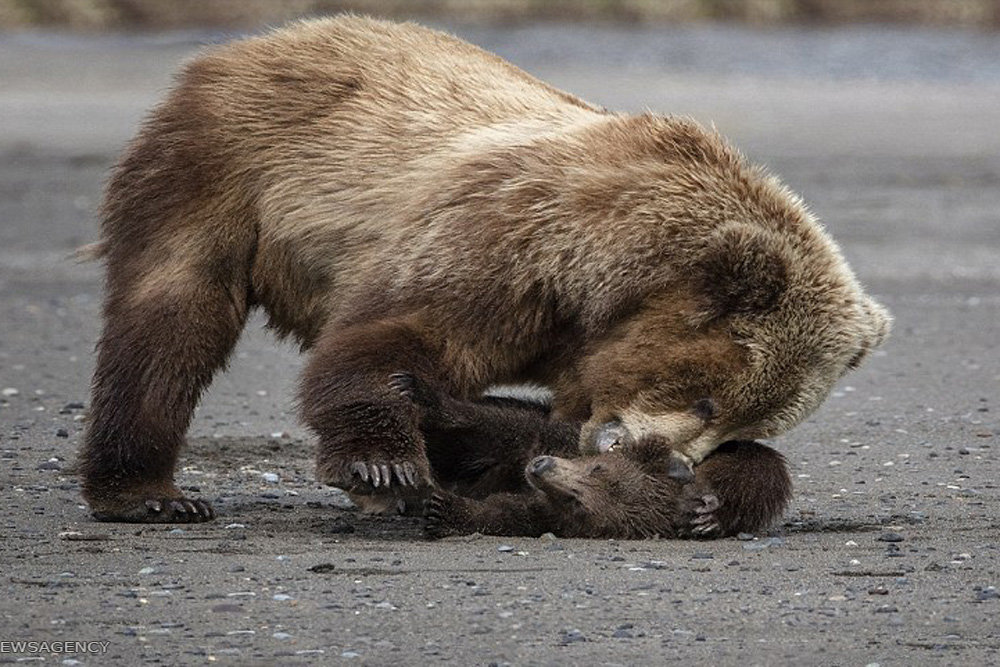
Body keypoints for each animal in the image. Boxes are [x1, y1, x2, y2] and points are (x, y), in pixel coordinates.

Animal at [80, 14, 892, 520]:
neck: (600, 287)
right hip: (219, 171)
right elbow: (396, 338)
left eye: (737, 419)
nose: (668, 459)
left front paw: (717, 496)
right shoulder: (511, 248)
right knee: (171, 320)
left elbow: (524, 428)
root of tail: (253, 42)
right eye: (707, 399)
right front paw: (383, 467)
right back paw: (150, 492)